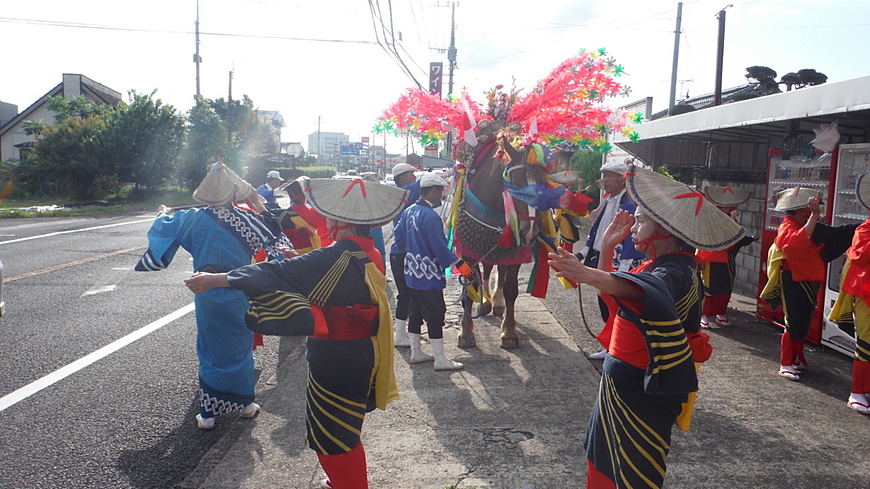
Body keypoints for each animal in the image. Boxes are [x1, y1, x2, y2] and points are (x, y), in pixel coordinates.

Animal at [376, 48, 640, 346]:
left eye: (545, 183)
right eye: (514, 181)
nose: (529, 231)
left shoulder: (514, 250)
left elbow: (512, 287)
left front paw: (509, 330)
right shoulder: (467, 250)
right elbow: (470, 285)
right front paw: (467, 331)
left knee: (498, 273)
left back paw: (497, 303)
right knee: (487, 270)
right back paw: (486, 304)